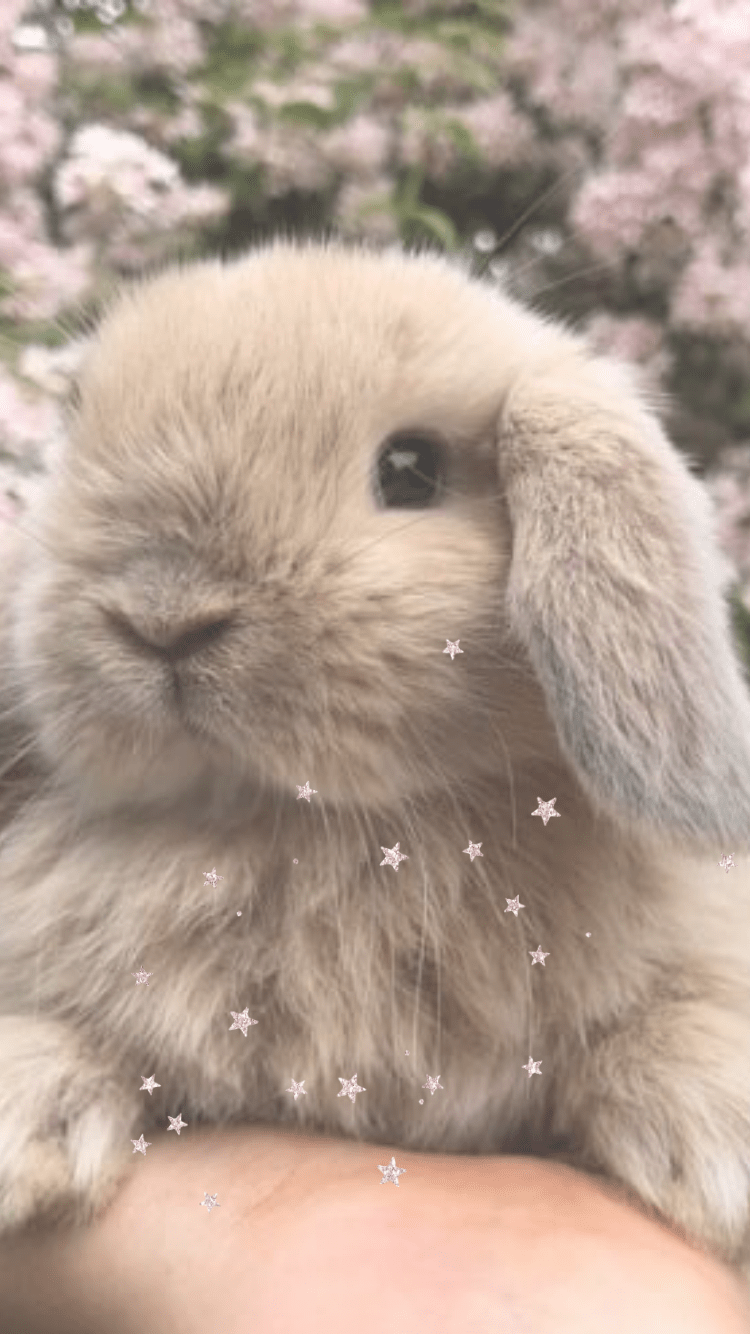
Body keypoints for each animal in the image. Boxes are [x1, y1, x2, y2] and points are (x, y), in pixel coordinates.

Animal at [1, 234, 750, 1273]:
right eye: (77, 432)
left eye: (410, 470)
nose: (161, 618)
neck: (302, 827)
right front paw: (26, 1104)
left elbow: (665, 1021)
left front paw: (716, 1136)